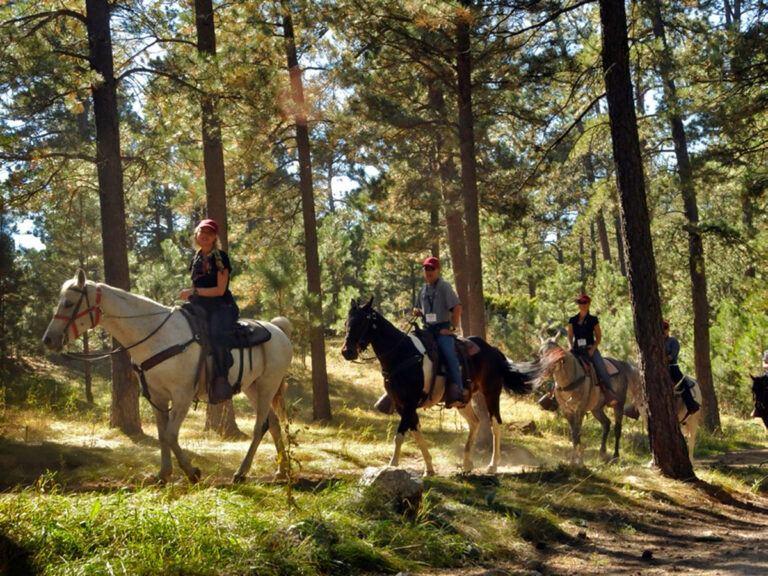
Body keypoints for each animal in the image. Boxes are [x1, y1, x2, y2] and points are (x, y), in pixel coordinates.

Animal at [42, 269, 293, 484]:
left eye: (69, 303)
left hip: (268, 385)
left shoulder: (182, 395)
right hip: (252, 387)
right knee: (273, 424)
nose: (48, 340)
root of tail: (278, 330)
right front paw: (163, 474)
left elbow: (171, 434)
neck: (157, 335)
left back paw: (242, 472)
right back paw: (282, 470)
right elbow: (163, 434)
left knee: (260, 426)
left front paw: (192, 472)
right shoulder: (157, 396)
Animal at [340, 297, 536, 476]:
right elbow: (415, 432)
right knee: (475, 422)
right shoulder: (401, 405)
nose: (347, 352)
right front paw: (429, 468)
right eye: (346, 322)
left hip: (491, 392)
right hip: (462, 401)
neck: (403, 354)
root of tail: (494, 350)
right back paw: (467, 463)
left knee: (495, 423)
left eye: (362, 322)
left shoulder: (410, 402)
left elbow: (400, 434)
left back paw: (492, 465)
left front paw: (392, 464)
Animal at [535, 335, 640, 465]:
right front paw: (575, 458)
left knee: (617, 429)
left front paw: (578, 459)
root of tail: (620, 364)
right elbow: (574, 433)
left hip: (618, 405)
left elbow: (577, 432)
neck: (569, 380)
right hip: (596, 409)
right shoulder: (567, 410)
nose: (544, 371)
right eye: (540, 353)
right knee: (606, 423)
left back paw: (615, 456)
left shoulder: (579, 410)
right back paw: (602, 452)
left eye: (555, 353)